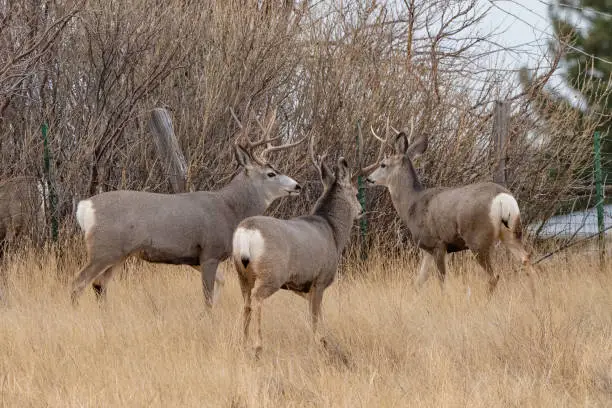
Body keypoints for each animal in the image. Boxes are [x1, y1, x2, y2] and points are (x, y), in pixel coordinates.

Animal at [71, 108, 306, 306]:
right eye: (271, 174)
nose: (297, 186)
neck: (230, 209)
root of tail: (84, 207)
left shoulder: (195, 258)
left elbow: (220, 283)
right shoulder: (210, 251)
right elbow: (207, 296)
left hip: (120, 254)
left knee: (99, 285)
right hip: (103, 248)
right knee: (79, 282)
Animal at [231, 134, 364, 356]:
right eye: (354, 193)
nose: (361, 210)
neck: (333, 231)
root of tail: (246, 231)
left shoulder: (302, 286)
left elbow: (316, 316)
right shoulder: (320, 279)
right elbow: (315, 317)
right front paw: (320, 344)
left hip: (241, 272)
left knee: (246, 303)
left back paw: (243, 342)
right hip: (272, 273)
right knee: (257, 298)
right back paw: (258, 345)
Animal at [364, 120, 536, 294]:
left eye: (383, 164)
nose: (368, 178)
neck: (412, 204)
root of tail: (503, 199)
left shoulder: (438, 243)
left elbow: (441, 281)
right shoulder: (427, 248)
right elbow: (419, 282)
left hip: (478, 238)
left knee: (494, 276)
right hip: (512, 232)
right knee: (526, 260)